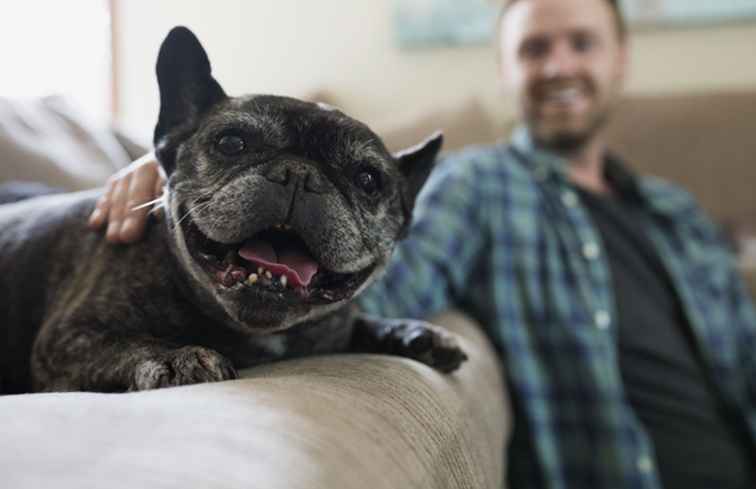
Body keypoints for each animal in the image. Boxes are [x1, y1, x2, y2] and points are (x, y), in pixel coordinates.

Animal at [0, 25, 466, 392]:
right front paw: (176, 357)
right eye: (231, 143)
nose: (298, 174)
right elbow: (124, 345)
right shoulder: (68, 339)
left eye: (368, 180)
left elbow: (358, 324)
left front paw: (413, 333)